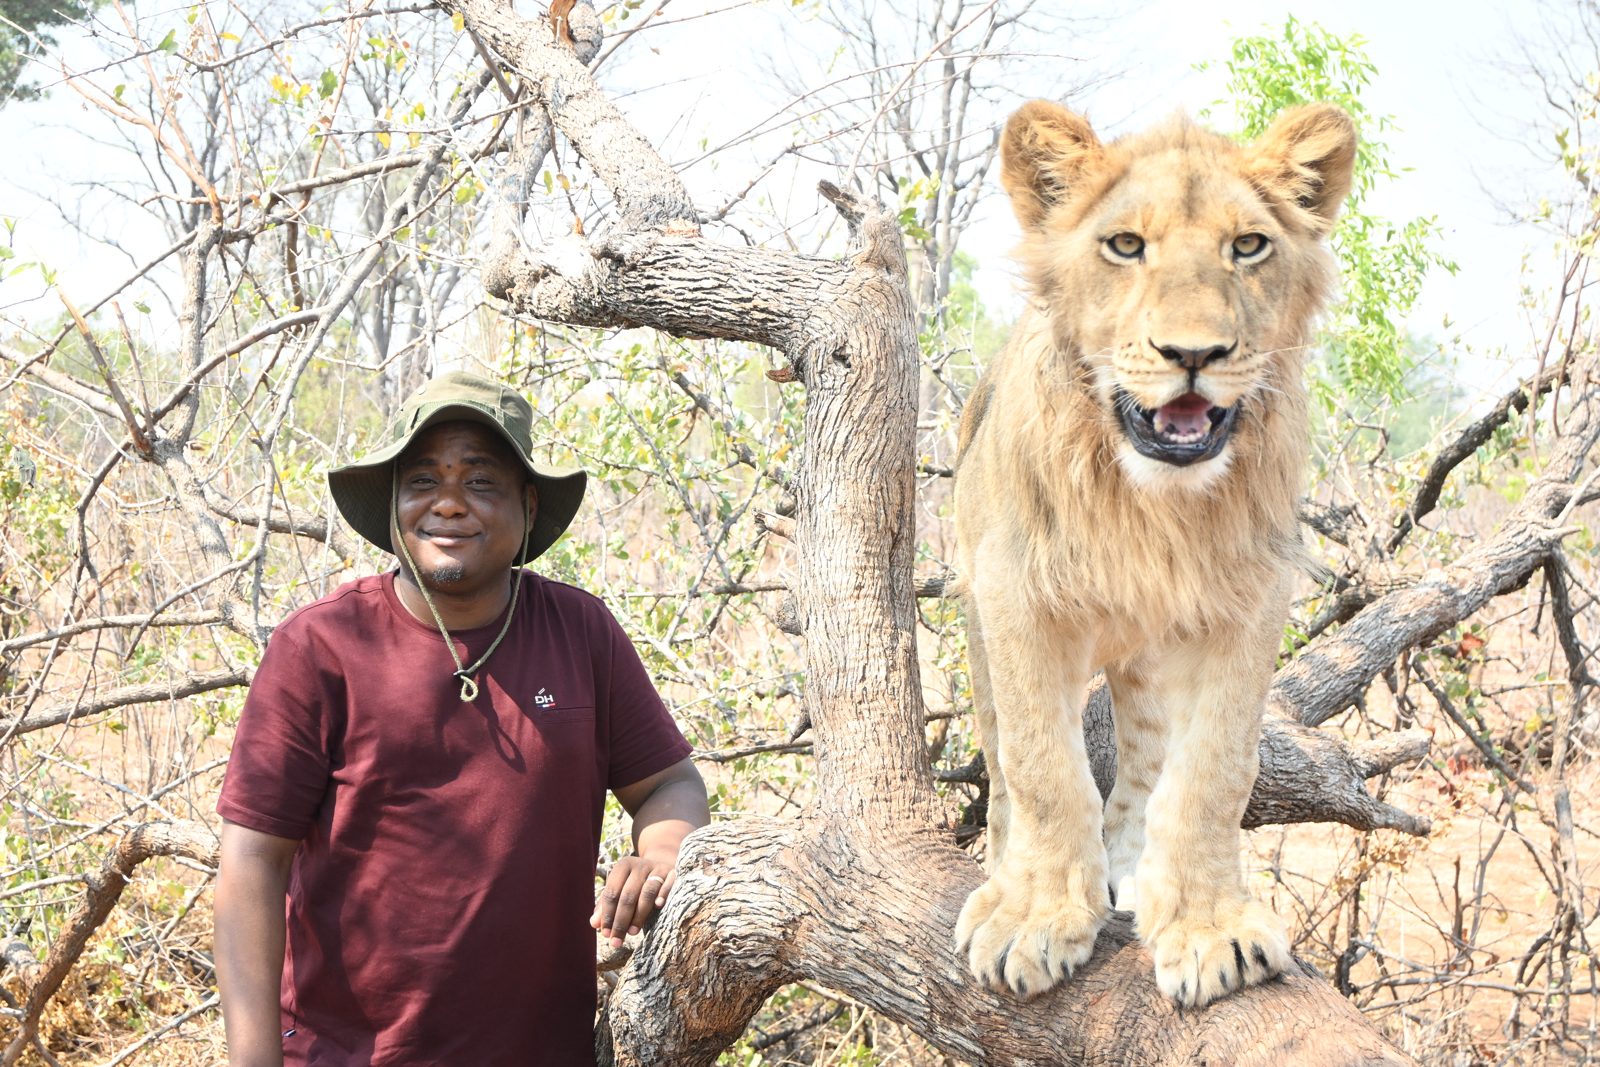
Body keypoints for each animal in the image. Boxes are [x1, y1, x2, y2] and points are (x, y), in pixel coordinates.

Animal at [952, 100, 1356, 1008]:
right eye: (1126, 245)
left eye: (1249, 245)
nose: (1194, 354)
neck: (1153, 504)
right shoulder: (1014, 593)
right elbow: (1040, 766)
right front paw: (1033, 916)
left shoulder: (1249, 600)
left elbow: (1213, 771)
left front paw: (1207, 927)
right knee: (1000, 757)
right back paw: (1001, 875)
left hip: (1143, 653)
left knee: (1141, 759)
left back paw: (1134, 871)